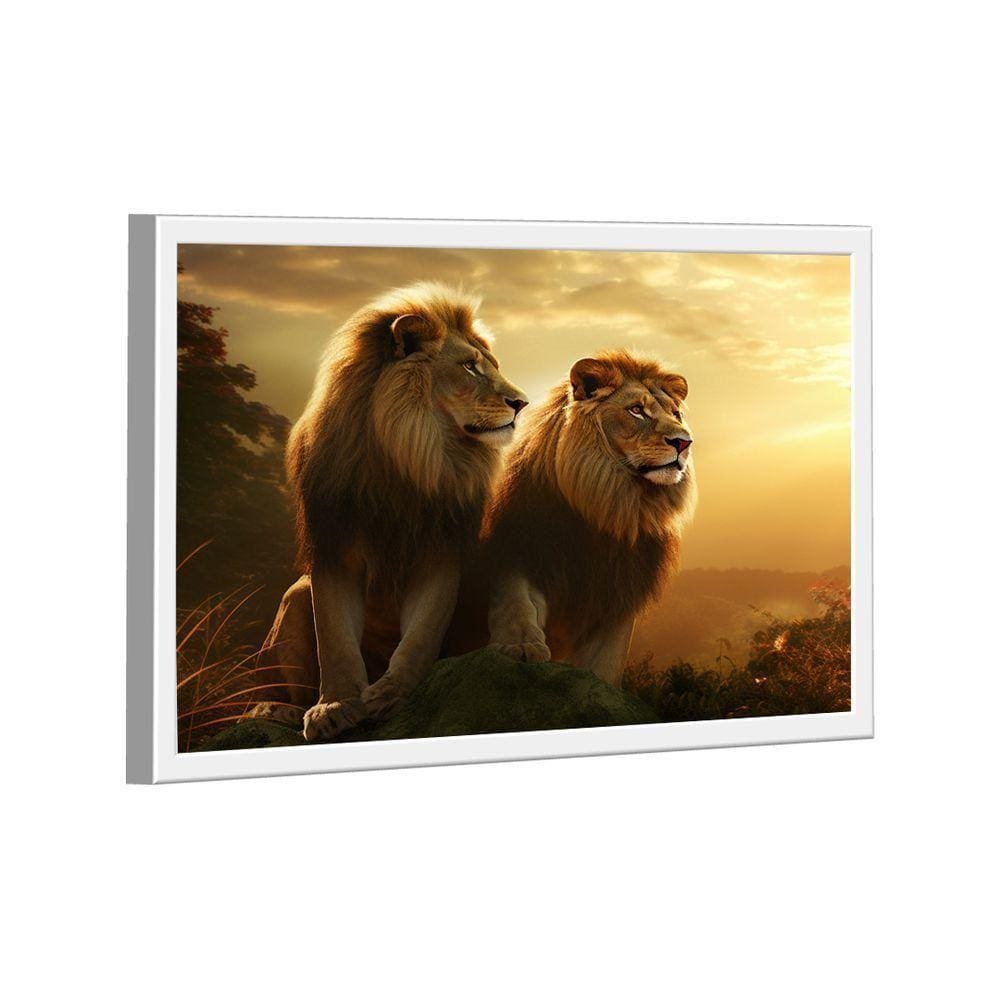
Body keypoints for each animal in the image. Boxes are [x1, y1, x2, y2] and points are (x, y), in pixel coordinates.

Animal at [254, 283, 528, 741]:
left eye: (491, 366)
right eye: (469, 368)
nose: (522, 403)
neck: (408, 454)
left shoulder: (440, 555)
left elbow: (420, 637)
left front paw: (392, 696)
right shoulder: (333, 551)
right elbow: (335, 641)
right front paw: (333, 708)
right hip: (294, 596)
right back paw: (277, 711)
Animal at [481, 350, 697, 685]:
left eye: (676, 414)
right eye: (636, 410)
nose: (684, 442)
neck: (607, 507)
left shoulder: (618, 594)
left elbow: (605, 662)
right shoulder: (522, 549)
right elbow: (516, 601)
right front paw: (519, 646)